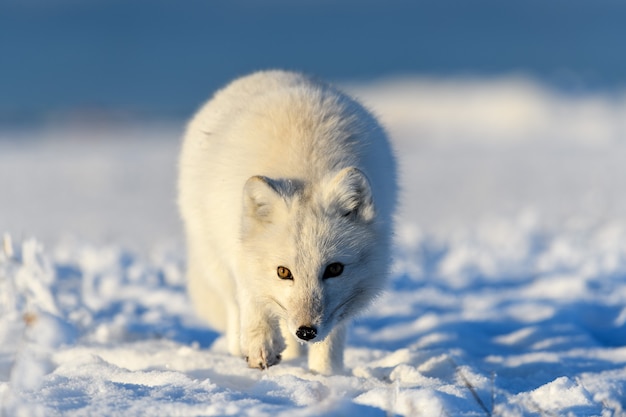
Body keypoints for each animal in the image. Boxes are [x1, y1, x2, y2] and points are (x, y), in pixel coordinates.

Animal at [177, 70, 394, 374]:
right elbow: (253, 299)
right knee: (234, 304)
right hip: (213, 256)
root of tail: (272, 72)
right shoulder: (240, 250)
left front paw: (325, 375)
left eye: (335, 269)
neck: (306, 169)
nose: (306, 331)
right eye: (283, 272)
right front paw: (261, 347)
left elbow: (330, 339)